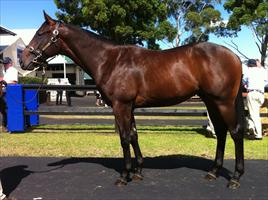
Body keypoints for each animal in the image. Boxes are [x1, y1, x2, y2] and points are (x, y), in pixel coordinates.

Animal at [19, 12, 246, 189]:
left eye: (41, 34)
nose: (23, 60)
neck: (110, 61)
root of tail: (234, 56)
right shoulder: (130, 107)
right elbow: (134, 136)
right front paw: (138, 171)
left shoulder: (121, 106)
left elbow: (124, 138)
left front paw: (124, 176)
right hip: (211, 101)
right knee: (222, 132)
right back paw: (213, 172)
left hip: (223, 102)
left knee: (235, 132)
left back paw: (235, 178)